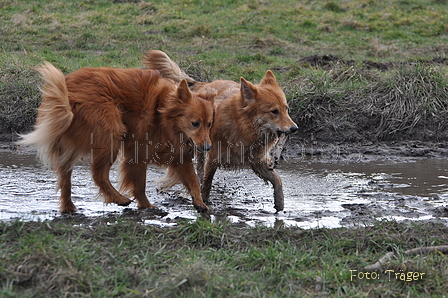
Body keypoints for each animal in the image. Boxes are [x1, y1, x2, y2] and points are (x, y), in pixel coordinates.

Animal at [20, 61, 215, 213]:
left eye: (209, 124)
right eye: (195, 123)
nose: (208, 148)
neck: (162, 112)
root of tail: (68, 95)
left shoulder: (179, 156)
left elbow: (194, 180)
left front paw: (199, 202)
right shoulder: (137, 153)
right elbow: (140, 184)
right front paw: (146, 206)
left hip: (72, 148)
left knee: (65, 179)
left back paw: (68, 207)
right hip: (111, 134)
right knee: (98, 174)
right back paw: (119, 199)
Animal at [144, 51, 298, 214]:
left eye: (286, 109)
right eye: (274, 111)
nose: (295, 128)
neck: (242, 127)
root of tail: (206, 84)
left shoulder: (258, 162)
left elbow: (278, 180)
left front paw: (279, 203)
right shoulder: (212, 159)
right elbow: (206, 184)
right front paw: (203, 203)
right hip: (200, 148)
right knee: (199, 170)